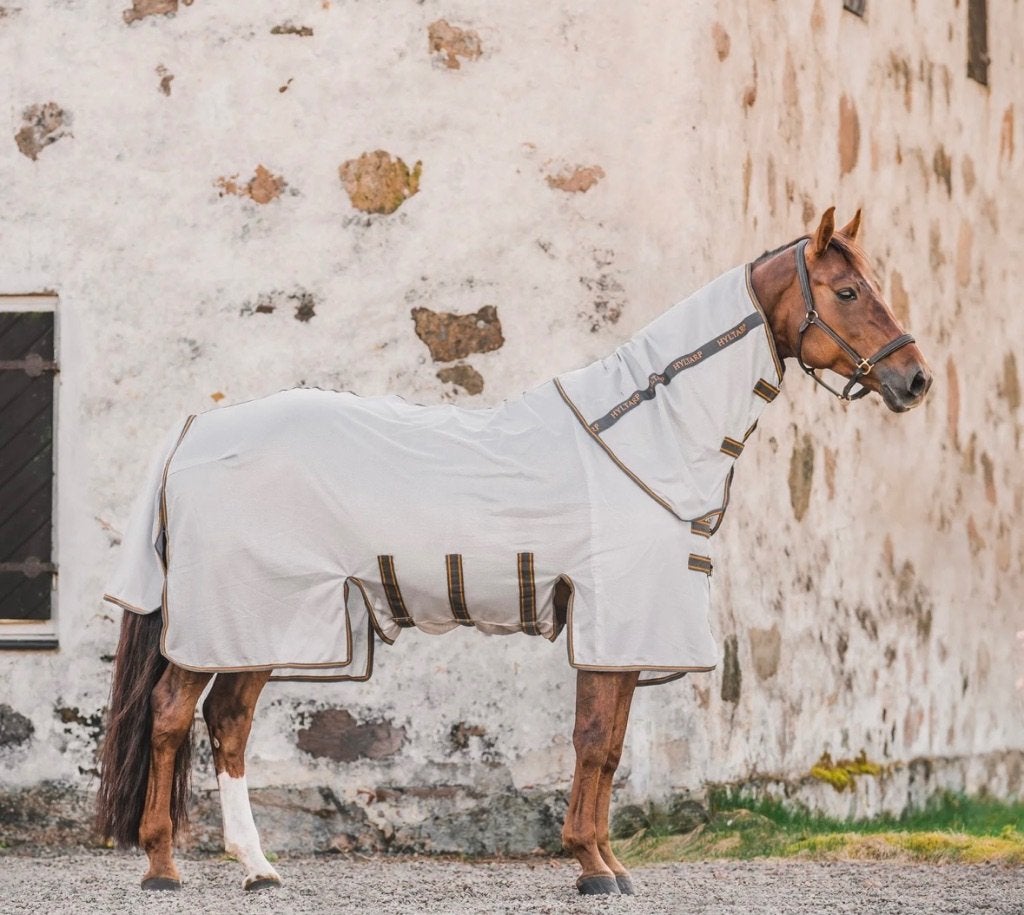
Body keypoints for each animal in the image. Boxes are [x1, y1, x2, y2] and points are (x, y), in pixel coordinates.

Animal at [95, 208, 932, 896]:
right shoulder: (611, 624)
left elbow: (610, 745)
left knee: (227, 722)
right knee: (172, 716)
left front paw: (608, 863)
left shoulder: (617, 636)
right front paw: (592, 865)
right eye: (847, 290)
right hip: (241, 616)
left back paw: (258, 867)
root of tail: (194, 431)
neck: (644, 436)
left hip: (263, 624)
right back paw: (163, 865)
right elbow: (595, 743)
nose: (915, 379)